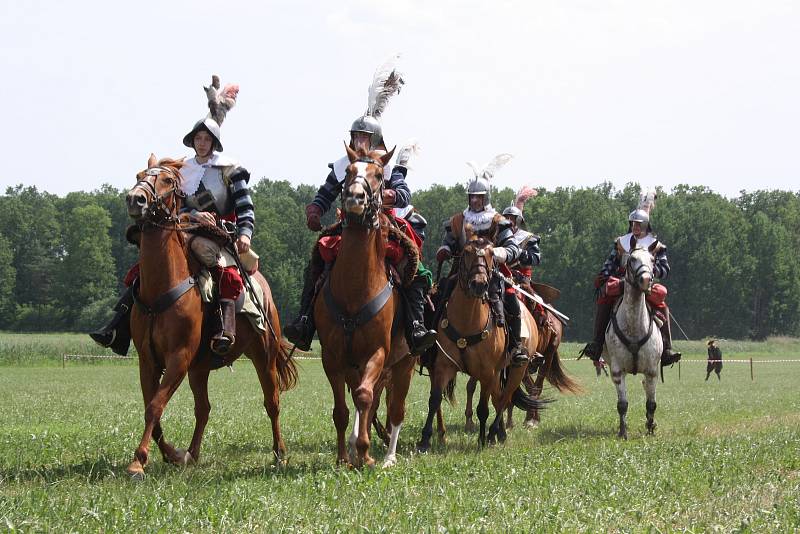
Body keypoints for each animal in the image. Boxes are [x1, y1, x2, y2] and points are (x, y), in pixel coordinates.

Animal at [123, 154, 298, 478]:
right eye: (140, 175)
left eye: (167, 179)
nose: (135, 199)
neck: (161, 289)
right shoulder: (148, 361)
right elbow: (153, 408)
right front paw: (172, 454)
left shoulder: (178, 358)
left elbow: (155, 406)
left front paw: (138, 462)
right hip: (200, 368)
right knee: (203, 409)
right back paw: (191, 453)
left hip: (263, 355)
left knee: (272, 402)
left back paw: (279, 453)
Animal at [314, 146, 416, 468]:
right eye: (348, 172)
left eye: (378, 175)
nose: (355, 197)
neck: (355, 290)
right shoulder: (333, 358)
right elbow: (343, 410)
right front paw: (344, 457)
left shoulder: (377, 353)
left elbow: (364, 399)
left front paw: (365, 453)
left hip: (404, 364)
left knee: (395, 409)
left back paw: (389, 456)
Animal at [416, 236, 548, 452]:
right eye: (466, 253)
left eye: (491, 254)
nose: (479, 284)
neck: (468, 321)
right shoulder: (444, 366)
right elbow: (434, 400)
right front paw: (425, 440)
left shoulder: (486, 372)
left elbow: (483, 408)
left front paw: (481, 439)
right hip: (497, 373)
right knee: (498, 397)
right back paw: (499, 433)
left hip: (517, 370)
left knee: (504, 398)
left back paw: (493, 433)